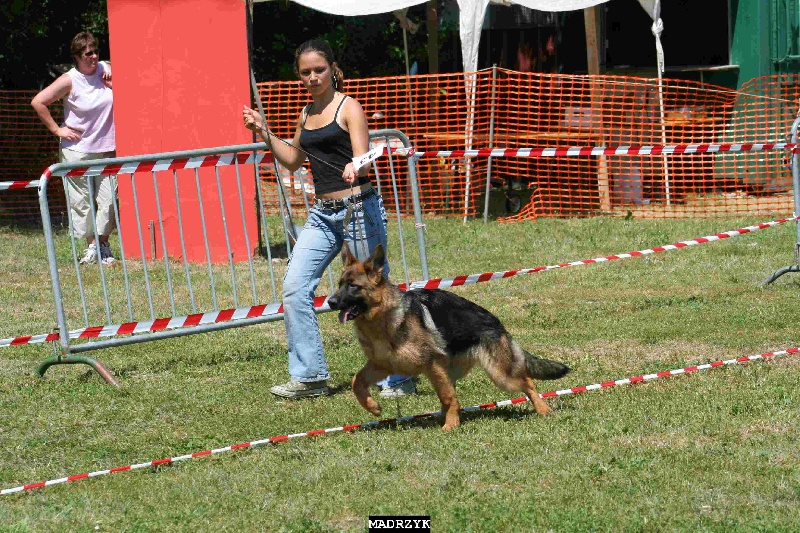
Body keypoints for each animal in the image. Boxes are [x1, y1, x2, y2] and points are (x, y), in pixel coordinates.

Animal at [328, 243, 572, 430]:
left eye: (353, 286)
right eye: (339, 285)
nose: (330, 302)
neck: (383, 318)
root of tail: (496, 321)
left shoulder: (432, 363)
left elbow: (448, 397)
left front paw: (451, 426)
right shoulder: (382, 365)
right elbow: (356, 381)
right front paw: (373, 407)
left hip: (499, 375)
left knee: (527, 382)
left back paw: (543, 409)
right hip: (450, 373)